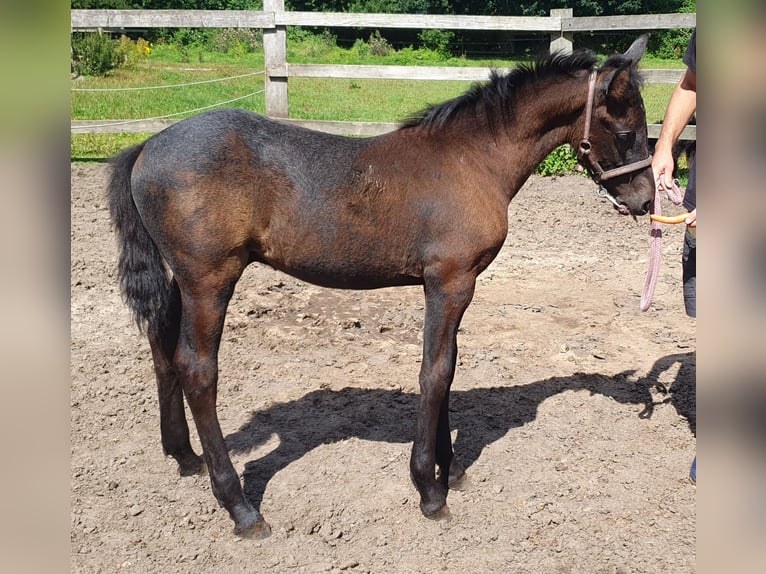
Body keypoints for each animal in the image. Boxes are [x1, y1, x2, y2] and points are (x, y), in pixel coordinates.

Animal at [107, 35, 654, 538]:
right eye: (626, 129)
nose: (646, 200)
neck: (472, 159)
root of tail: (146, 147)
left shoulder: (452, 284)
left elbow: (448, 367)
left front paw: (451, 469)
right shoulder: (450, 281)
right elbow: (435, 372)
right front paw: (429, 489)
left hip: (179, 278)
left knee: (160, 346)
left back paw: (184, 456)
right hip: (210, 278)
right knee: (198, 370)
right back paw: (240, 507)